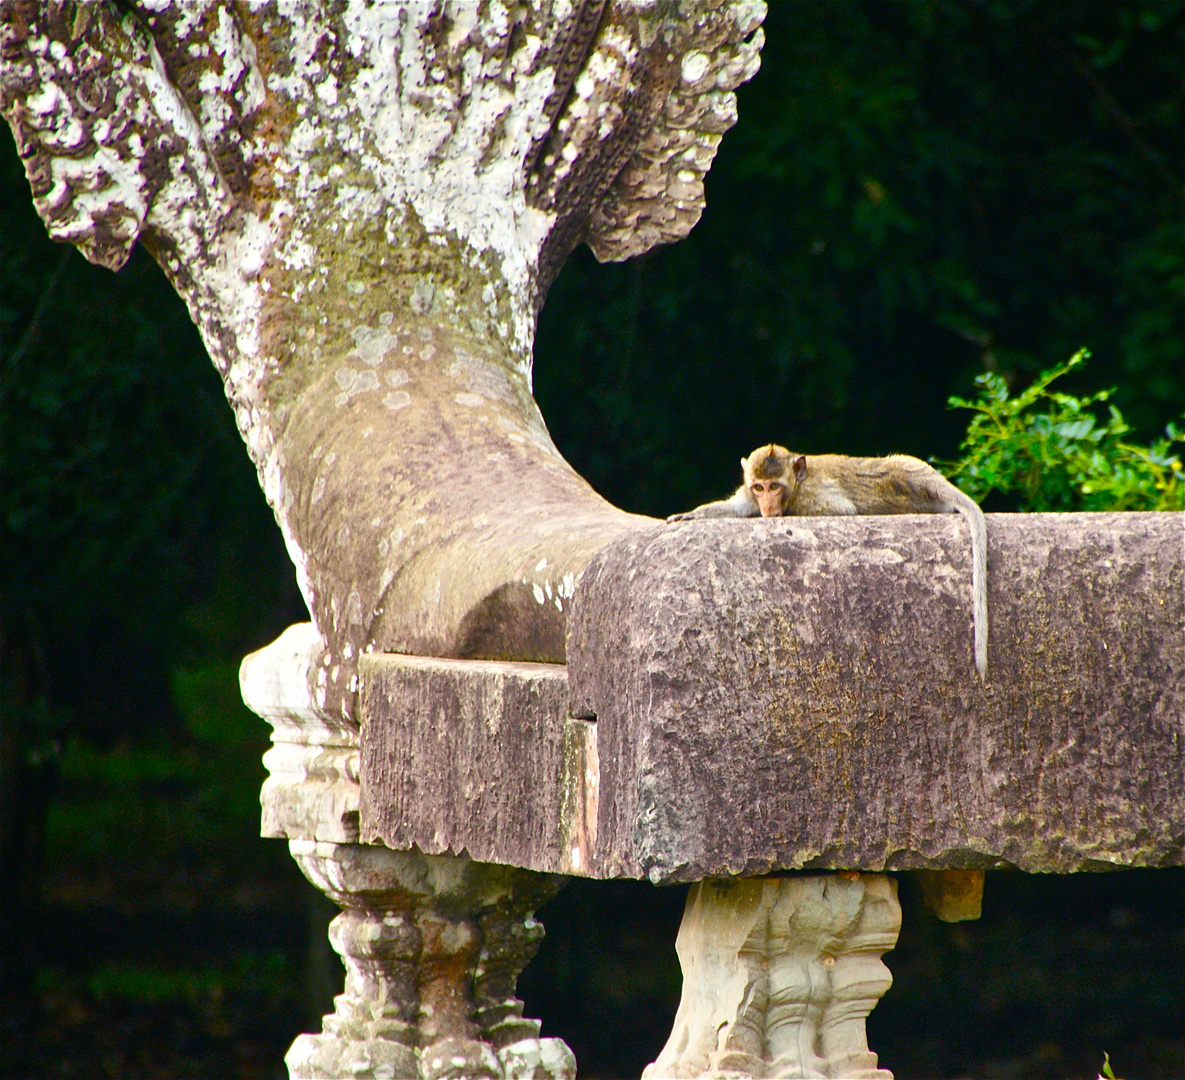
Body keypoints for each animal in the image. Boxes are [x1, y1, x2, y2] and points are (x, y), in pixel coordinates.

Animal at [668, 443, 990, 678]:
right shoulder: (750, 496)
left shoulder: (811, 497)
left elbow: (841, 510)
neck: (798, 484)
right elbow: (735, 508)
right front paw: (690, 515)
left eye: (775, 487)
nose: (768, 507)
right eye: (759, 487)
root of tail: (933, 481)